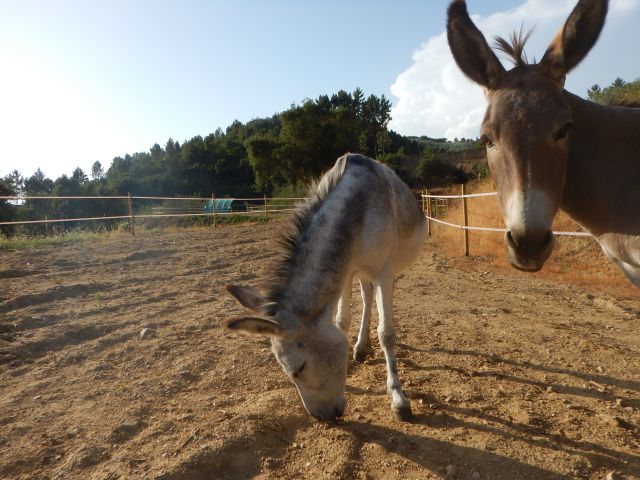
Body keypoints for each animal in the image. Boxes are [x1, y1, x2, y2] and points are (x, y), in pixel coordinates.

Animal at [224, 154, 426, 421]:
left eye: (298, 369)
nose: (323, 417)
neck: (358, 208)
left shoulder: (383, 270)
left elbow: (387, 333)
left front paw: (399, 400)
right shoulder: (346, 271)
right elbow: (342, 322)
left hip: (384, 270)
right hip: (360, 273)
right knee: (367, 296)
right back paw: (360, 348)